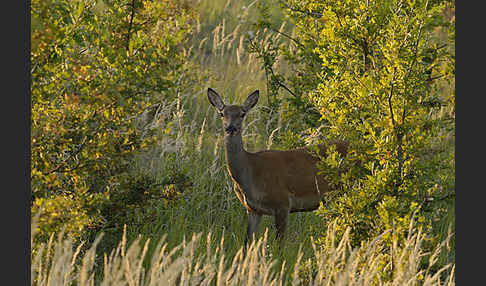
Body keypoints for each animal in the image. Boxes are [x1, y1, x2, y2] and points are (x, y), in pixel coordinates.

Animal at [207, 88, 348, 247]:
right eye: (222, 113)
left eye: (242, 114)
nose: (231, 128)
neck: (251, 172)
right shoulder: (253, 209)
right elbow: (247, 242)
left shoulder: (283, 203)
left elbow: (279, 245)